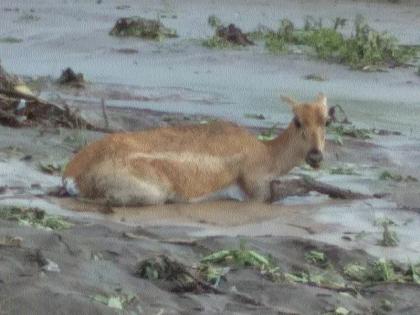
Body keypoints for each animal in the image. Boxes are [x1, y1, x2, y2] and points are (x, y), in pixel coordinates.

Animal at [64, 93, 330, 207]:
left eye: (327, 120)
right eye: (298, 121)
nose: (316, 155)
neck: (266, 152)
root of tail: (72, 173)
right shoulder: (257, 192)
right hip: (152, 194)